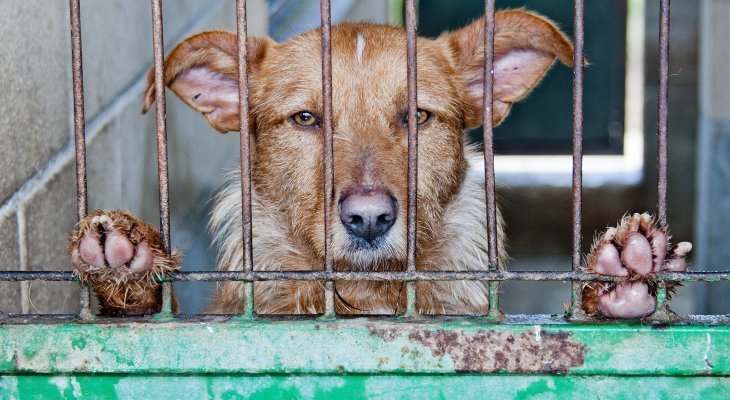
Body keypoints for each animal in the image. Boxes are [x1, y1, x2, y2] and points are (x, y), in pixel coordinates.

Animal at [67, 9, 688, 318]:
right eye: (306, 119)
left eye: (417, 116)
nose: (368, 219)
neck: (367, 296)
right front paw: (128, 270)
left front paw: (616, 282)